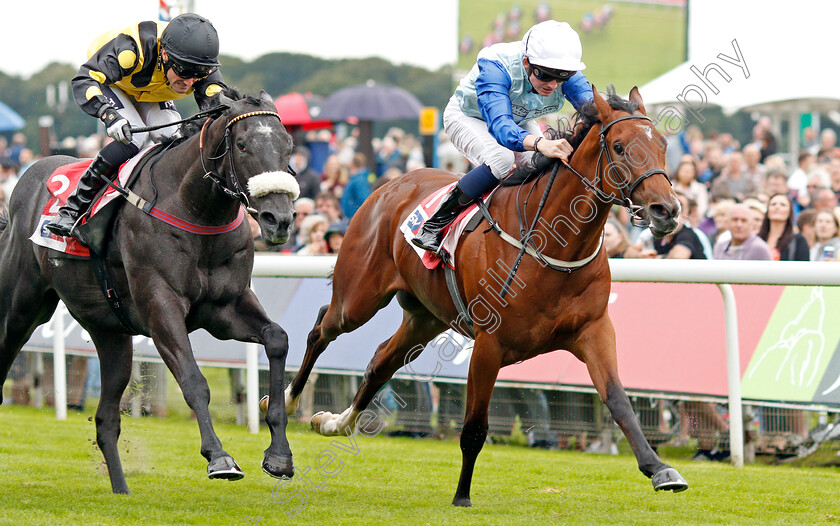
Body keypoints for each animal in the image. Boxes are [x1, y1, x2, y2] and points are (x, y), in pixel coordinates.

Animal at [0, 88, 298, 498]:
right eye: (242, 145)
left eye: (288, 145)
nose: (278, 220)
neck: (194, 208)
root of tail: (28, 175)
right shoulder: (161, 306)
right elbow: (193, 380)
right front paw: (219, 458)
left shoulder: (226, 308)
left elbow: (277, 339)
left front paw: (279, 456)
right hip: (21, 307)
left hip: (109, 332)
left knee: (106, 418)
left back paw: (121, 490)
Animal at [284, 86, 688, 508]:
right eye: (620, 147)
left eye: (663, 145)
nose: (667, 211)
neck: (552, 243)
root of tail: (391, 183)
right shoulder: (489, 345)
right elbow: (475, 425)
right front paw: (462, 495)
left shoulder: (594, 330)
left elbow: (619, 401)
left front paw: (660, 469)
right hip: (358, 299)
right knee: (321, 328)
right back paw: (287, 402)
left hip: (425, 317)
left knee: (380, 361)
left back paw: (333, 423)